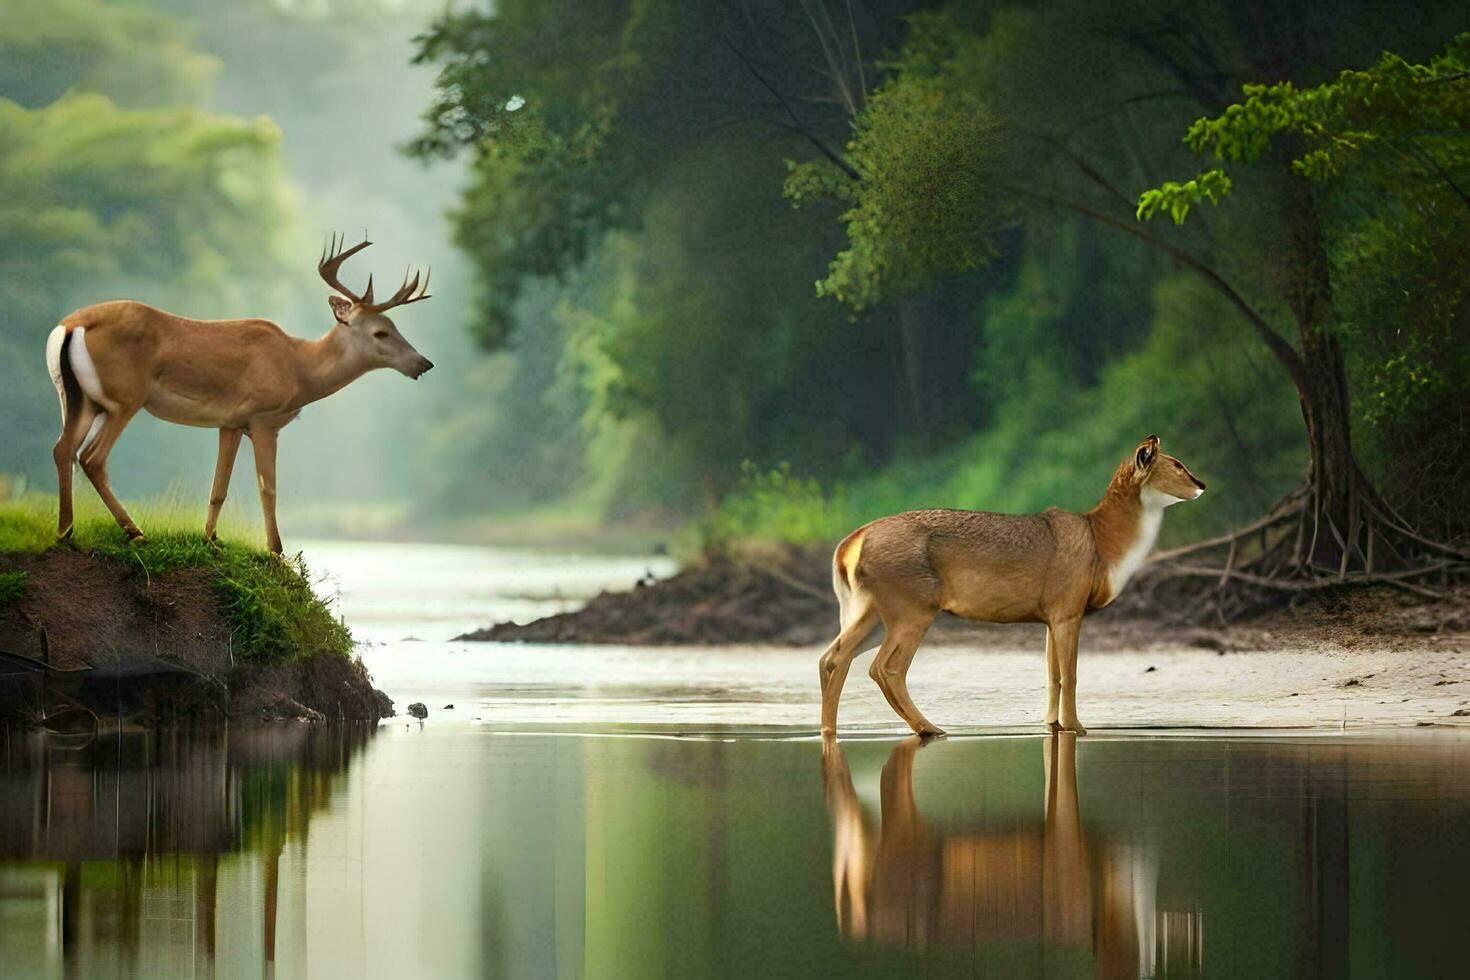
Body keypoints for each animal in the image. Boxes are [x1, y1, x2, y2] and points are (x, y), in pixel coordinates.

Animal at [45, 235, 432, 552]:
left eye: (395, 326)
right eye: (381, 332)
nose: (424, 363)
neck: (299, 367)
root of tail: (69, 326)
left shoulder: (229, 422)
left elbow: (219, 488)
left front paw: (211, 538)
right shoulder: (263, 419)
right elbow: (268, 488)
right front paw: (276, 550)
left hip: (81, 400)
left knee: (64, 449)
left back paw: (66, 531)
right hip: (125, 399)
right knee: (92, 457)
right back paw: (132, 531)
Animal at [823, 437, 1199, 734]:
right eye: (1177, 465)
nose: (1202, 484)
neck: (1104, 547)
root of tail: (849, 545)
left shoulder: (1050, 616)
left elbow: (1052, 675)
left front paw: (1053, 724)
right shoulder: (1068, 607)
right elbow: (1071, 675)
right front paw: (1077, 726)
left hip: (868, 610)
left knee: (832, 657)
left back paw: (830, 729)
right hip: (911, 607)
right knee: (885, 668)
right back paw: (930, 728)